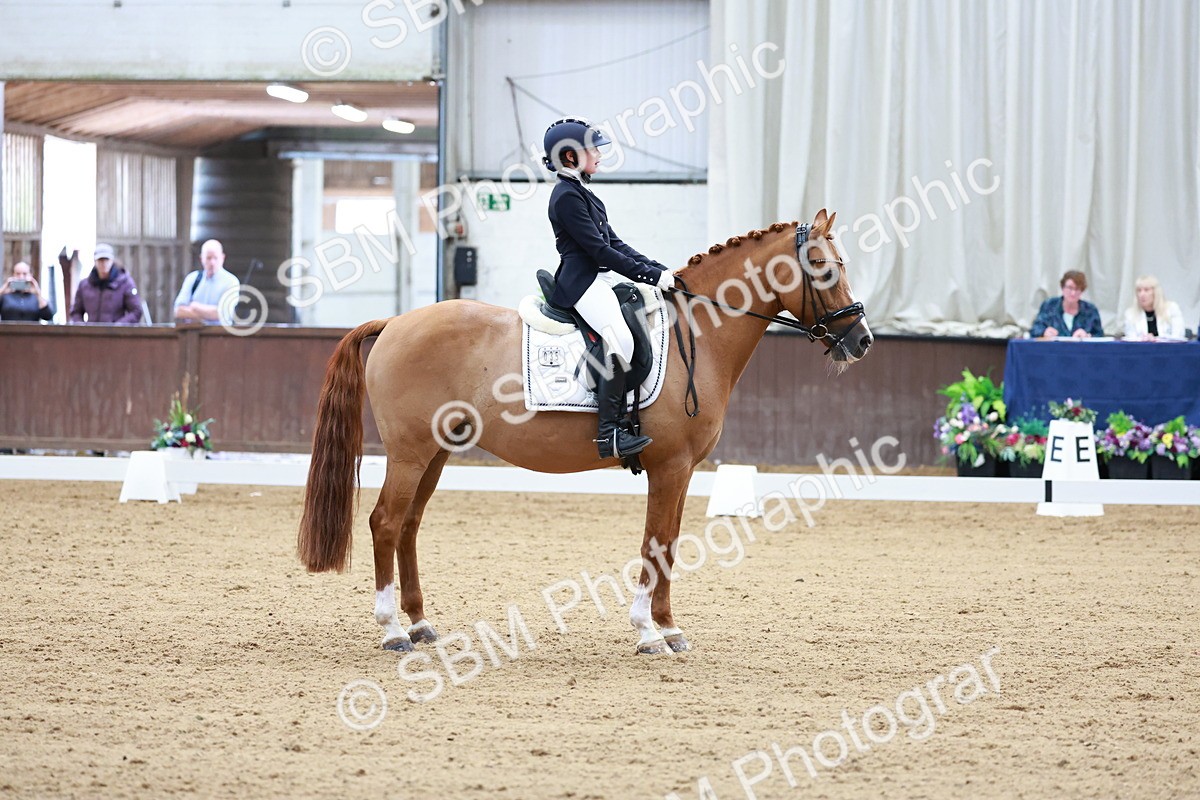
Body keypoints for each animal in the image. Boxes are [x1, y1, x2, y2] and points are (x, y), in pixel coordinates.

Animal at [297, 209, 873, 655]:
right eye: (823, 268)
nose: (862, 340)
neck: (700, 334)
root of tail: (394, 323)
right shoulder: (669, 466)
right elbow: (655, 542)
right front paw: (648, 633)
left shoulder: (683, 470)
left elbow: (668, 543)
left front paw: (669, 629)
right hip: (410, 452)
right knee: (385, 523)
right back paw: (392, 630)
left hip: (437, 451)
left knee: (409, 525)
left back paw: (420, 625)